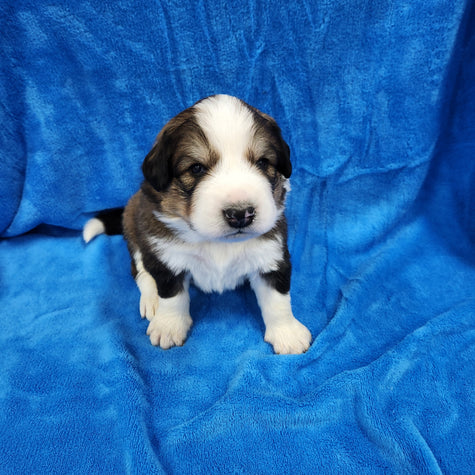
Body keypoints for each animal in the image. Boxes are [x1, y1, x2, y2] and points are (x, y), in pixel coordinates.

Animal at [84, 94, 314, 354]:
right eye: (196, 168)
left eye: (263, 162)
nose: (240, 214)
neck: (217, 242)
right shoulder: (166, 253)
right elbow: (171, 294)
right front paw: (169, 326)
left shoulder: (270, 253)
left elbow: (278, 297)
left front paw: (288, 333)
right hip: (135, 225)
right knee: (141, 268)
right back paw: (151, 300)